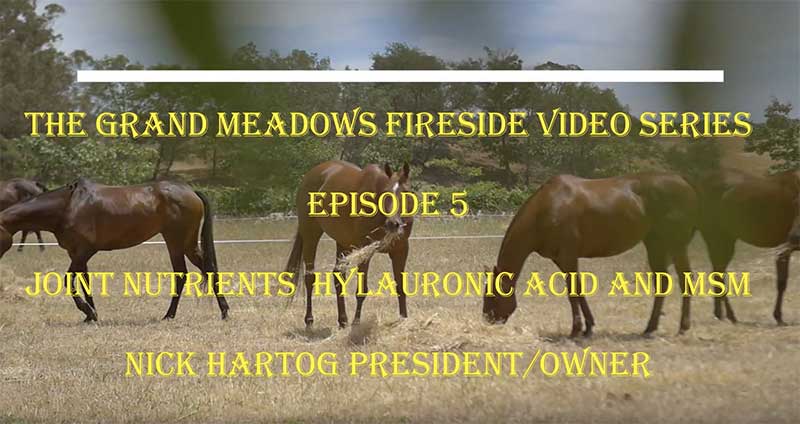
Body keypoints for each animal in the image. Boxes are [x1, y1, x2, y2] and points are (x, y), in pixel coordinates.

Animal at [0, 178, 229, 322]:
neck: (67, 207)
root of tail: (191, 191)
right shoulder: (77, 254)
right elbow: (85, 283)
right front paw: (90, 314)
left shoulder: (84, 251)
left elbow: (69, 280)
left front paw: (87, 310)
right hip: (183, 244)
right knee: (198, 271)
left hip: (177, 241)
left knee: (191, 272)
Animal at [285, 160, 413, 328]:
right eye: (386, 192)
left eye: (406, 192)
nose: (393, 224)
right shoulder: (365, 251)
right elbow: (361, 291)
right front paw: (356, 322)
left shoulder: (401, 251)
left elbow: (400, 287)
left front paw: (404, 318)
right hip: (310, 236)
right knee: (309, 278)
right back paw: (310, 320)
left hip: (342, 242)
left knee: (338, 275)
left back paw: (343, 320)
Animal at [483, 172, 698, 337]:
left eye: (492, 294)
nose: (487, 318)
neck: (547, 208)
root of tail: (686, 184)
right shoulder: (562, 259)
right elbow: (578, 291)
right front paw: (588, 327)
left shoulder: (568, 256)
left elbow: (572, 292)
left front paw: (576, 330)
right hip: (655, 245)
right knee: (662, 283)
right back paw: (650, 328)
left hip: (676, 246)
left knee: (684, 279)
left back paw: (683, 327)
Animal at [693, 168, 799, 326]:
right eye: (795, 203)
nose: (794, 236)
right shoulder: (784, 251)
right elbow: (781, 282)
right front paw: (778, 317)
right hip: (719, 239)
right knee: (719, 274)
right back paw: (730, 315)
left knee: (717, 273)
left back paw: (720, 314)